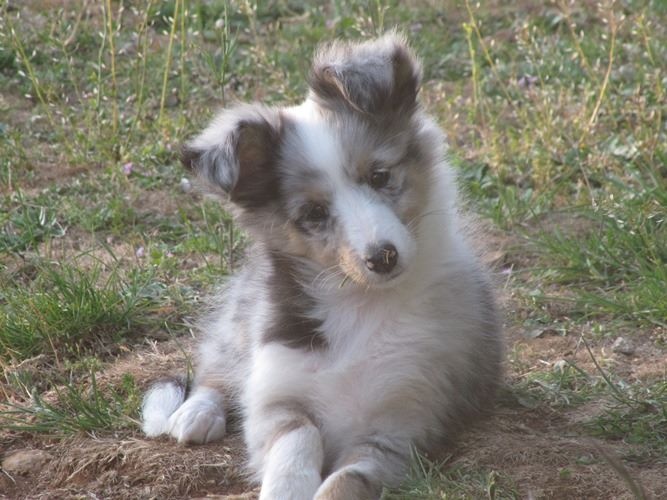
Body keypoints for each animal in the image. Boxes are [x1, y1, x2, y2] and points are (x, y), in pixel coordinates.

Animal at [144, 33, 504, 498]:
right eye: (314, 213)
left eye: (379, 176)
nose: (383, 257)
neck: (359, 305)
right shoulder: (276, 396)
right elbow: (299, 436)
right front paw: (285, 487)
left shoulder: (402, 425)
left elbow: (346, 479)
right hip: (242, 324)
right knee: (217, 369)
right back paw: (196, 413)